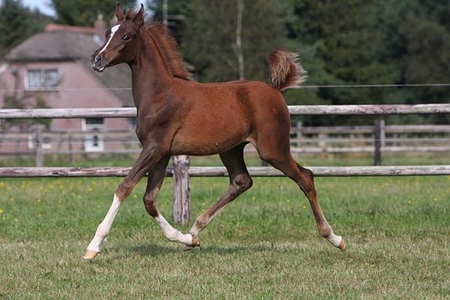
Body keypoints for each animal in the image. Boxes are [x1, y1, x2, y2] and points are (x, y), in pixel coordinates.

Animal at [83, 3, 344, 258]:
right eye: (107, 33)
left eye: (126, 36)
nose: (97, 59)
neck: (159, 93)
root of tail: (275, 90)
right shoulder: (162, 152)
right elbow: (149, 199)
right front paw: (185, 238)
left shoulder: (154, 147)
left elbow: (124, 187)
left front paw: (93, 246)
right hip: (231, 149)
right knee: (241, 181)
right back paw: (194, 231)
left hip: (273, 150)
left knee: (305, 177)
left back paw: (334, 238)